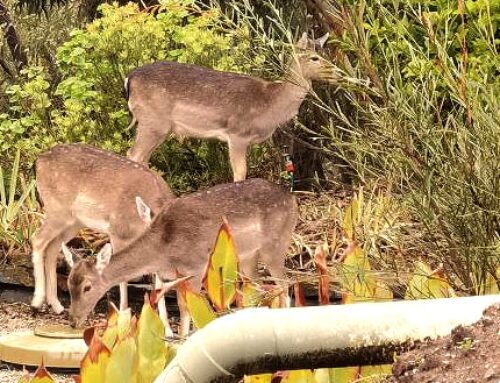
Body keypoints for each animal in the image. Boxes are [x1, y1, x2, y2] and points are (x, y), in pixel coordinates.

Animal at [30, 144, 178, 332]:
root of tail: (38, 161)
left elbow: (158, 282)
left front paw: (167, 329)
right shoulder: (117, 232)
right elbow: (123, 278)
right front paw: (123, 318)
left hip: (74, 221)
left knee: (52, 247)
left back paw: (56, 305)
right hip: (57, 210)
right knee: (37, 239)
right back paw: (36, 303)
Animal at [62, 178, 296, 336]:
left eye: (87, 287)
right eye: (69, 283)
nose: (73, 320)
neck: (163, 252)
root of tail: (293, 198)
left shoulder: (196, 267)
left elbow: (192, 308)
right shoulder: (176, 275)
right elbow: (183, 307)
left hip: (275, 246)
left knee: (286, 287)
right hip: (249, 257)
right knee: (258, 288)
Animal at [125, 33, 340, 182]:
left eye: (326, 54)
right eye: (314, 58)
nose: (339, 73)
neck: (271, 105)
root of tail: (129, 80)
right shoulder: (237, 133)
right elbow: (240, 173)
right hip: (153, 122)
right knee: (133, 155)